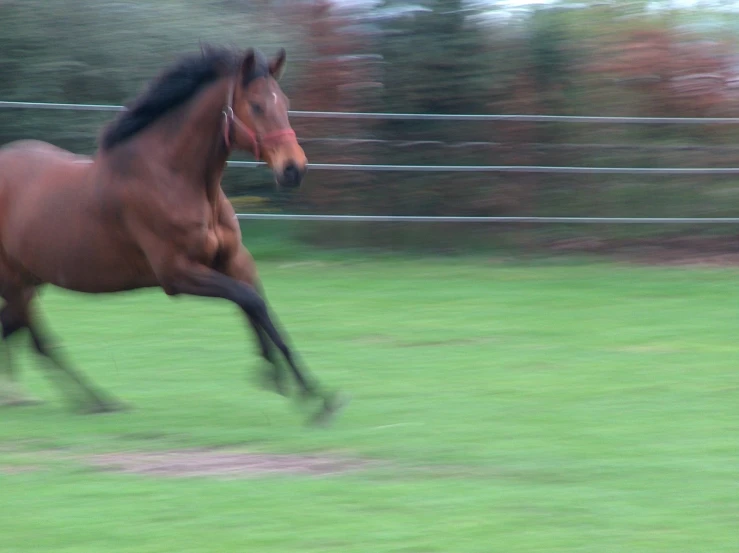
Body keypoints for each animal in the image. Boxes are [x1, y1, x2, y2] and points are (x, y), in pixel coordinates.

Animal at [0, 45, 346, 424]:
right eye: (256, 105)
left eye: (284, 102)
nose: (294, 169)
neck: (174, 177)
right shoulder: (177, 274)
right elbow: (249, 300)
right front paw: (300, 390)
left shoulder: (234, 261)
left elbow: (257, 304)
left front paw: (291, 382)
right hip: (15, 282)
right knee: (36, 340)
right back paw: (96, 401)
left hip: (31, 280)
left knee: (15, 329)